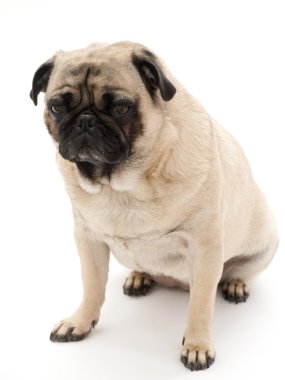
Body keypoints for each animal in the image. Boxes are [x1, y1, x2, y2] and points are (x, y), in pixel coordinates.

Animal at [30, 42, 278, 372]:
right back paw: (140, 276)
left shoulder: (205, 248)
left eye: (120, 107)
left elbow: (200, 306)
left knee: (234, 275)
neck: (121, 185)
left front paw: (197, 345)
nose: (85, 120)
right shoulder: (88, 240)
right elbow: (92, 287)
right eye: (57, 107)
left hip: (265, 246)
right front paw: (81, 321)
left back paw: (235, 284)